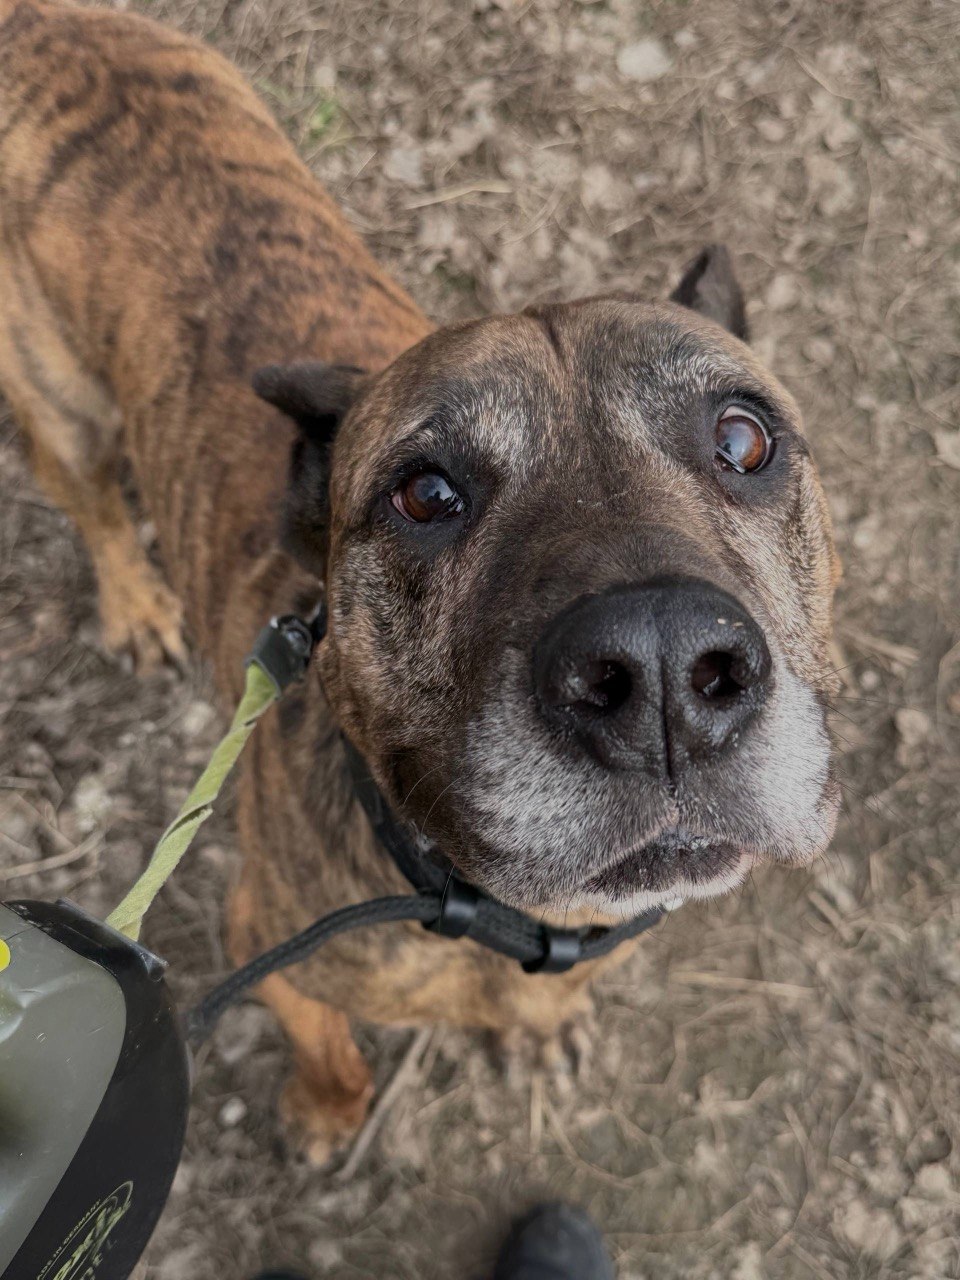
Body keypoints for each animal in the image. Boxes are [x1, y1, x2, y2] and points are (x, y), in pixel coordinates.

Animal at [0, 0, 840, 1162]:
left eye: (744, 439)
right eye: (425, 493)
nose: (664, 669)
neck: (501, 910)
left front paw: (537, 1026)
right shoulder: (262, 948)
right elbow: (321, 1038)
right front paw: (329, 1105)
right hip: (62, 402)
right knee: (90, 499)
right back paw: (131, 599)